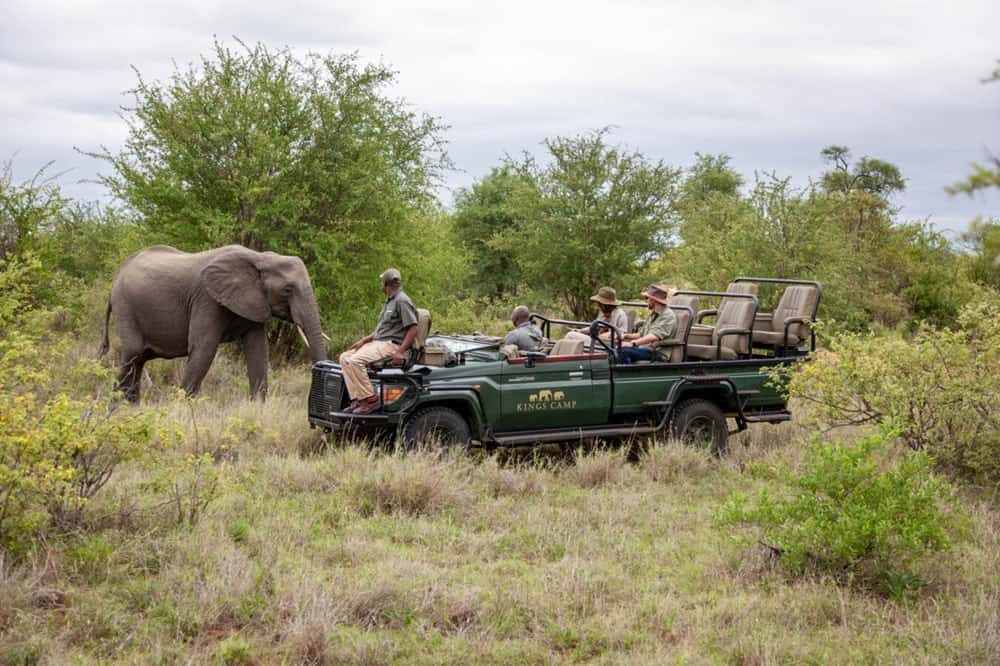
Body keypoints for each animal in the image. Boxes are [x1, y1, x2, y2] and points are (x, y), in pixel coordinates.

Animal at [98, 243, 324, 400]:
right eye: (288, 289)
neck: (259, 257)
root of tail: (116, 277)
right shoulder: (206, 299)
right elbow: (204, 349)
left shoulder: (254, 303)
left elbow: (258, 350)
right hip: (125, 306)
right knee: (133, 355)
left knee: (140, 361)